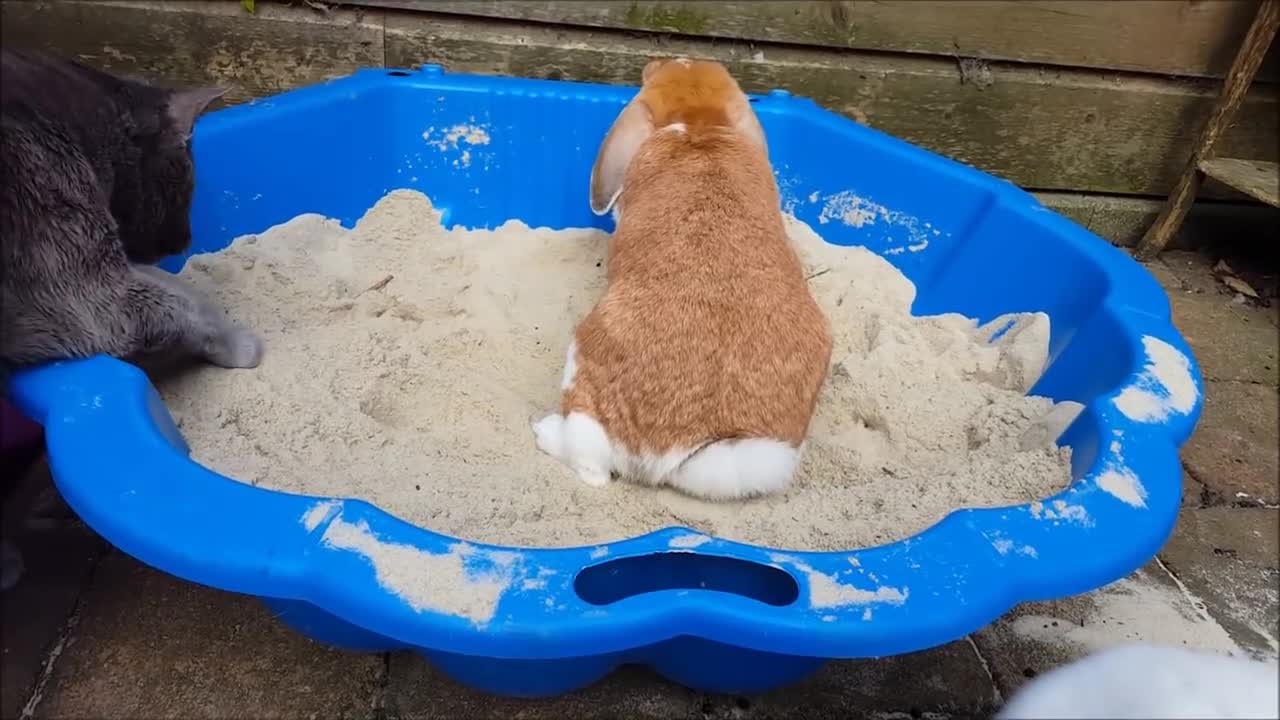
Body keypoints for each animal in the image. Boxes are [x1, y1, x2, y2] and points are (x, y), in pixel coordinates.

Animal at [529, 57, 829, 499]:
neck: (699, 123)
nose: (656, 62)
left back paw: (545, 432)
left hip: (581, 373)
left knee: (591, 466)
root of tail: (676, 447)